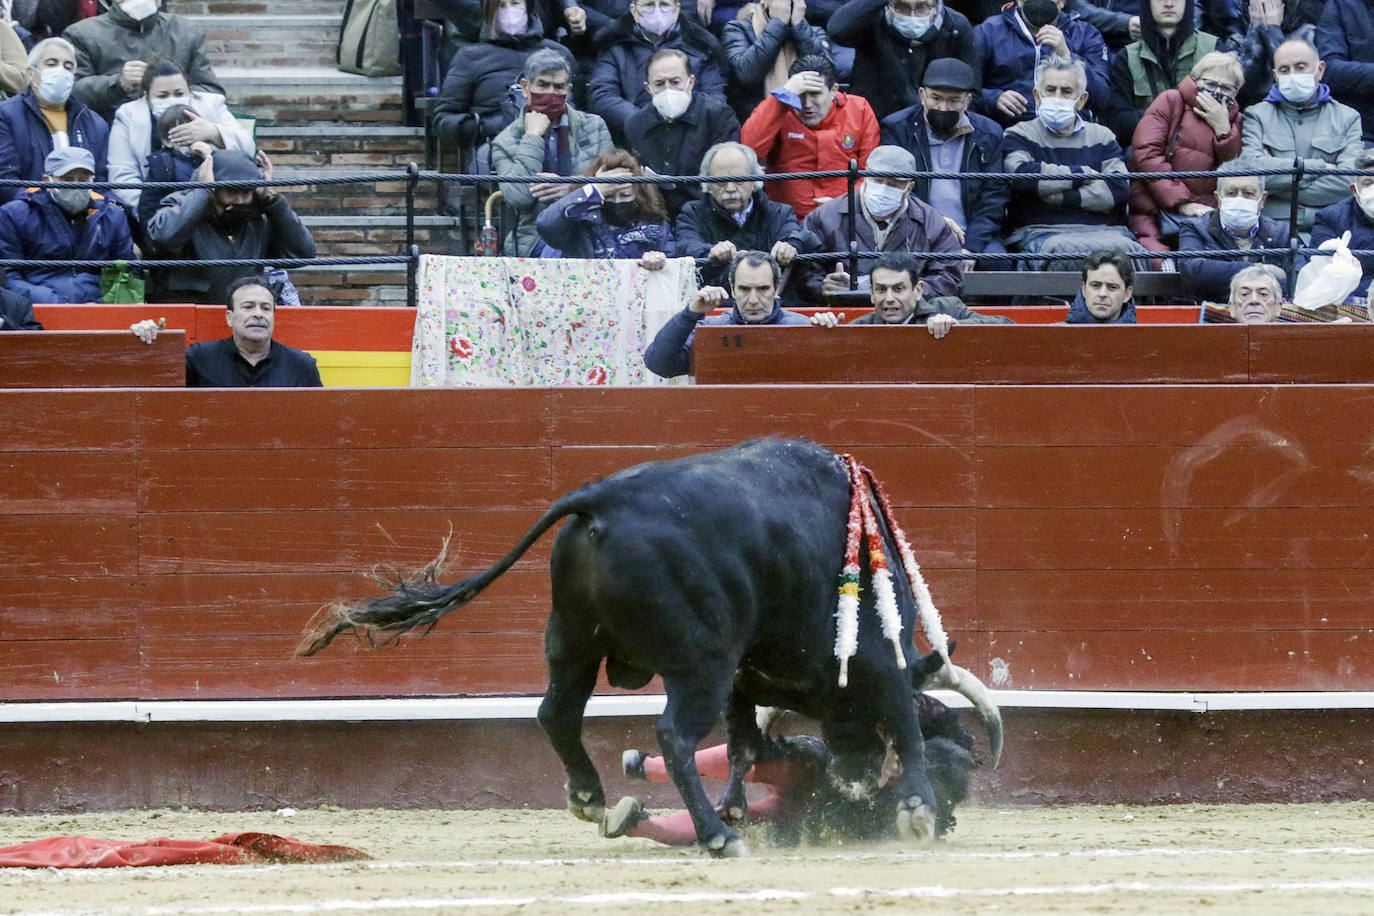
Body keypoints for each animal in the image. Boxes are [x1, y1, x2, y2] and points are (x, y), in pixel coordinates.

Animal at [298, 439, 1000, 856]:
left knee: (557, 712)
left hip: (572, 640)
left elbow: (746, 745)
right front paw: (917, 810)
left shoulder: (745, 678)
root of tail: (603, 496)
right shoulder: (878, 660)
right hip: (699, 662)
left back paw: (592, 797)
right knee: (673, 735)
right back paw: (716, 837)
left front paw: (738, 802)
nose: (851, 780)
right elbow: (903, 723)